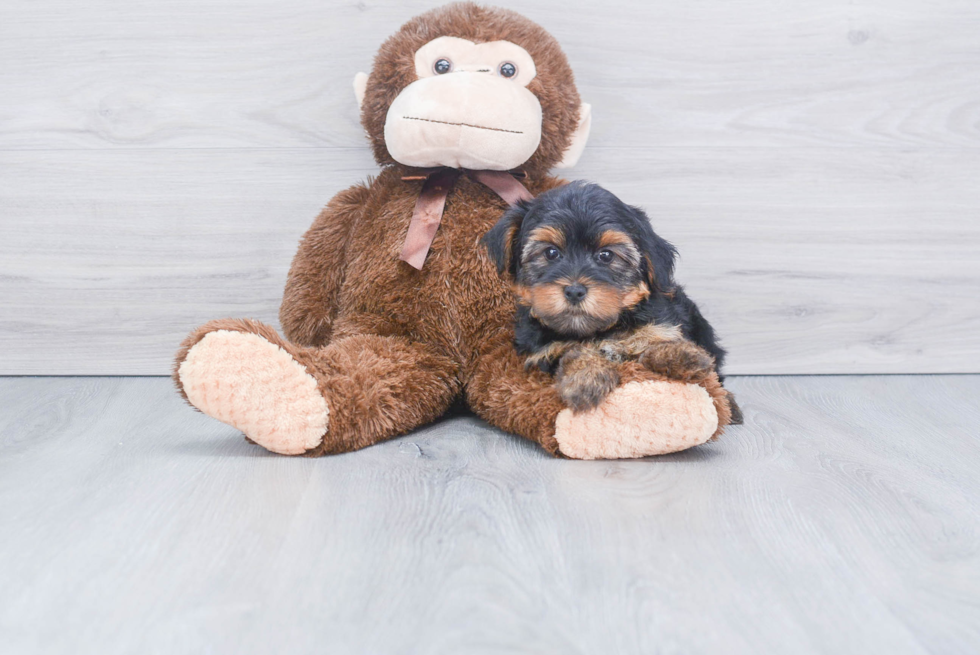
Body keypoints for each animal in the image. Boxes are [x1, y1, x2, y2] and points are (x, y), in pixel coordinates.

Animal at [482, 183, 744, 420]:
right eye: (551, 253)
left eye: (606, 255)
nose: (575, 291)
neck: (600, 330)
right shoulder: (543, 353)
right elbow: (574, 352)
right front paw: (586, 380)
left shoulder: (662, 324)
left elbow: (652, 343)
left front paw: (682, 355)